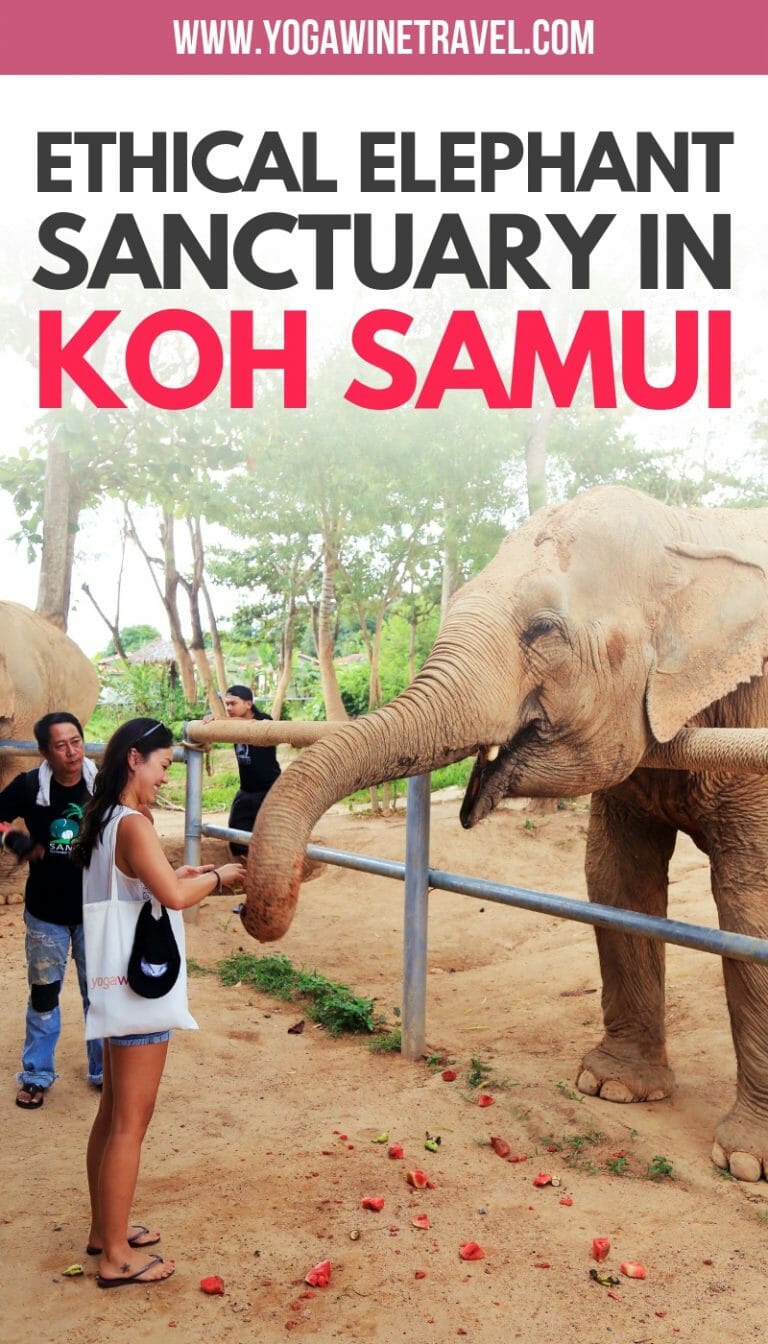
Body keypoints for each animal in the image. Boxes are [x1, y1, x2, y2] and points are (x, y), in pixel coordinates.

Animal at [242, 483, 768, 1182]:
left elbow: (752, 903)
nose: (259, 915)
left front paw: (745, 1164)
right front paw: (612, 1090)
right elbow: (616, 879)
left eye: (543, 629)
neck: (689, 528)